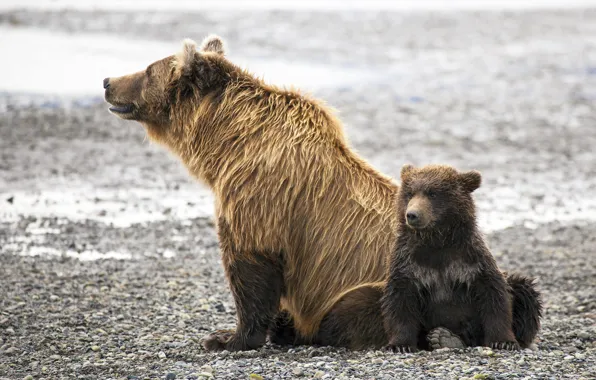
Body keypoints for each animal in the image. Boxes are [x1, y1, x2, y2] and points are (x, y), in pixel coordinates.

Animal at [105, 35, 398, 350]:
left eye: (148, 71)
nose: (107, 81)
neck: (228, 142)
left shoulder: (258, 194)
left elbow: (249, 263)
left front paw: (228, 338)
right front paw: (275, 327)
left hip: (380, 282)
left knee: (350, 312)